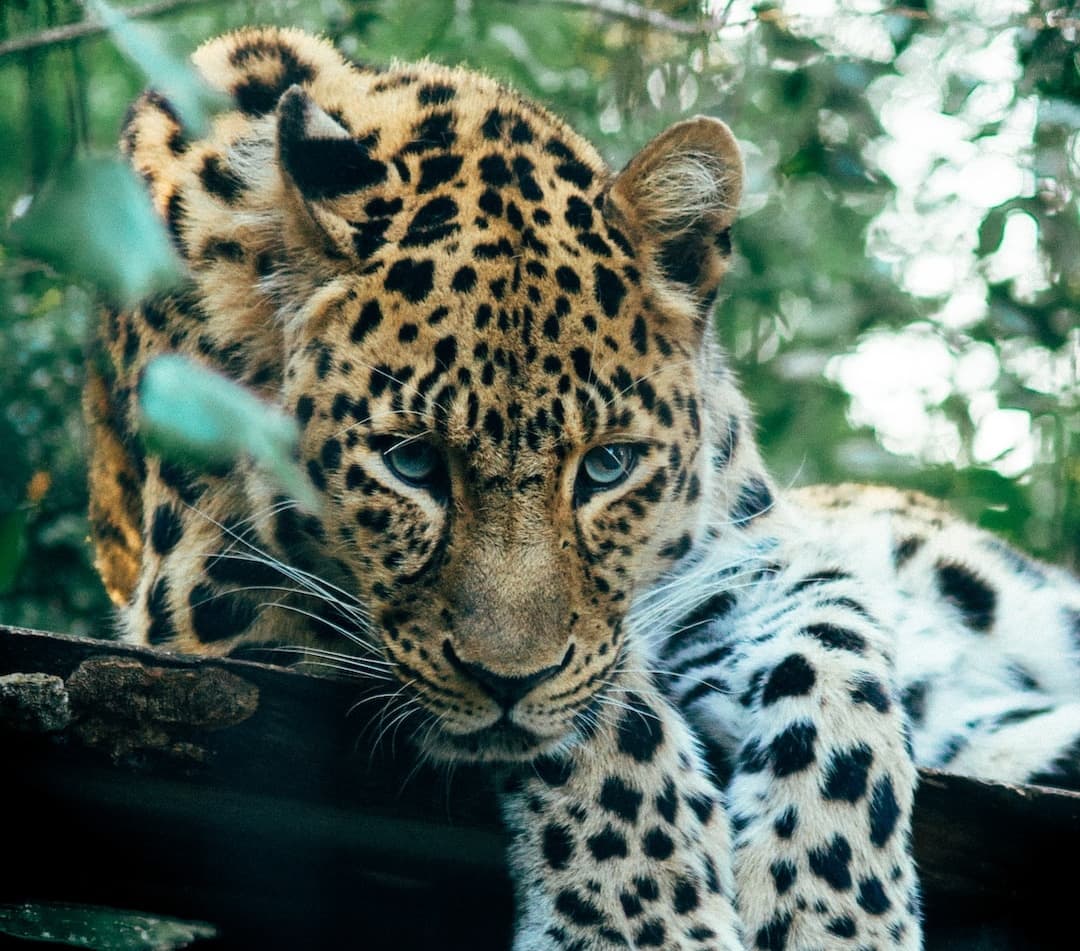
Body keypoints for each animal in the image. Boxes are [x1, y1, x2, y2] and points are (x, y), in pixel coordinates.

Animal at [86, 27, 1080, 949]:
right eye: (410, 462)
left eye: (607, 466)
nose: (506, 679)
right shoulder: (209, 585)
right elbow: (608, 709)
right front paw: (645, 918)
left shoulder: (741, 560)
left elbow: (835, 661)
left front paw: (834, 913)